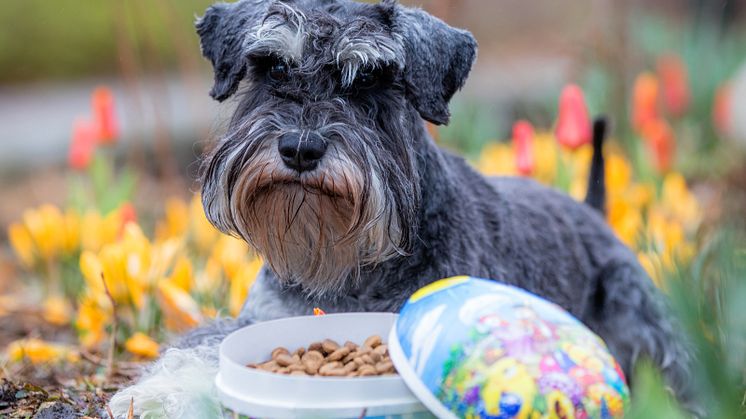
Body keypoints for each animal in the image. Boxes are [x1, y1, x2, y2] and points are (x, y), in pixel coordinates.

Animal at [109, 0, 692, 416]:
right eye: (272, 67)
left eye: (368, 79)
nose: (300, 148)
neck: (344, 267)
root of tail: (593, 213)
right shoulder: (260, 319)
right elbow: (207, 345)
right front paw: (161, 391)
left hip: (640, 315)